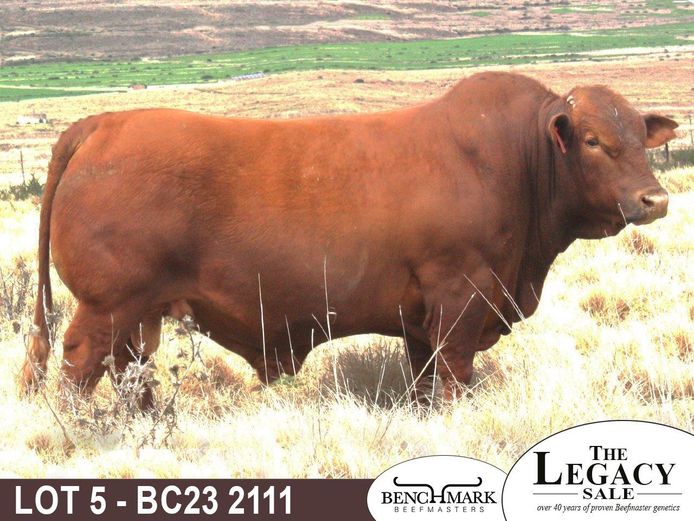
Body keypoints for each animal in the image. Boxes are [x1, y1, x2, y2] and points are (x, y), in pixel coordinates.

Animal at [19, 72, 676, 404]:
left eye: (640, 136)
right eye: (592, 140)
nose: (655, 199)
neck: (513, 158)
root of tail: (104, 123)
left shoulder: (421, 317)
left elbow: (424, 379)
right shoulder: (460, 297)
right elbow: (454, 374)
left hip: (140, 312)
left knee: (129, 369)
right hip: (107, 304)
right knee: (81, 363)